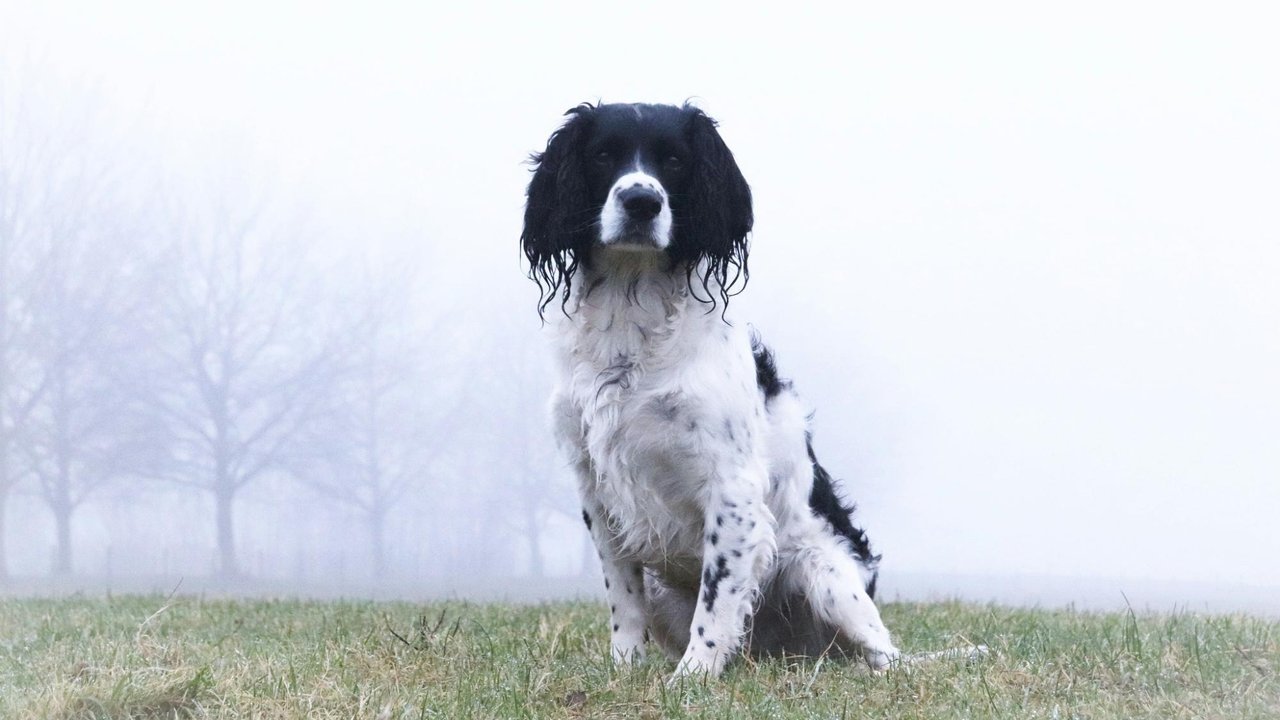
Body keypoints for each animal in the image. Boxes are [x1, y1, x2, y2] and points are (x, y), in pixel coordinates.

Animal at [519, 102, 901, 676]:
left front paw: (692, 676)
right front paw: (625, 670)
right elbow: (623, 600)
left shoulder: (733, 490)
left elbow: (718, 598)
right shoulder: (595, 488)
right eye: (603, 154)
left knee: (890, 656)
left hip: (829, 579)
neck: (632, 319)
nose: (642, 200)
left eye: (675, 160)